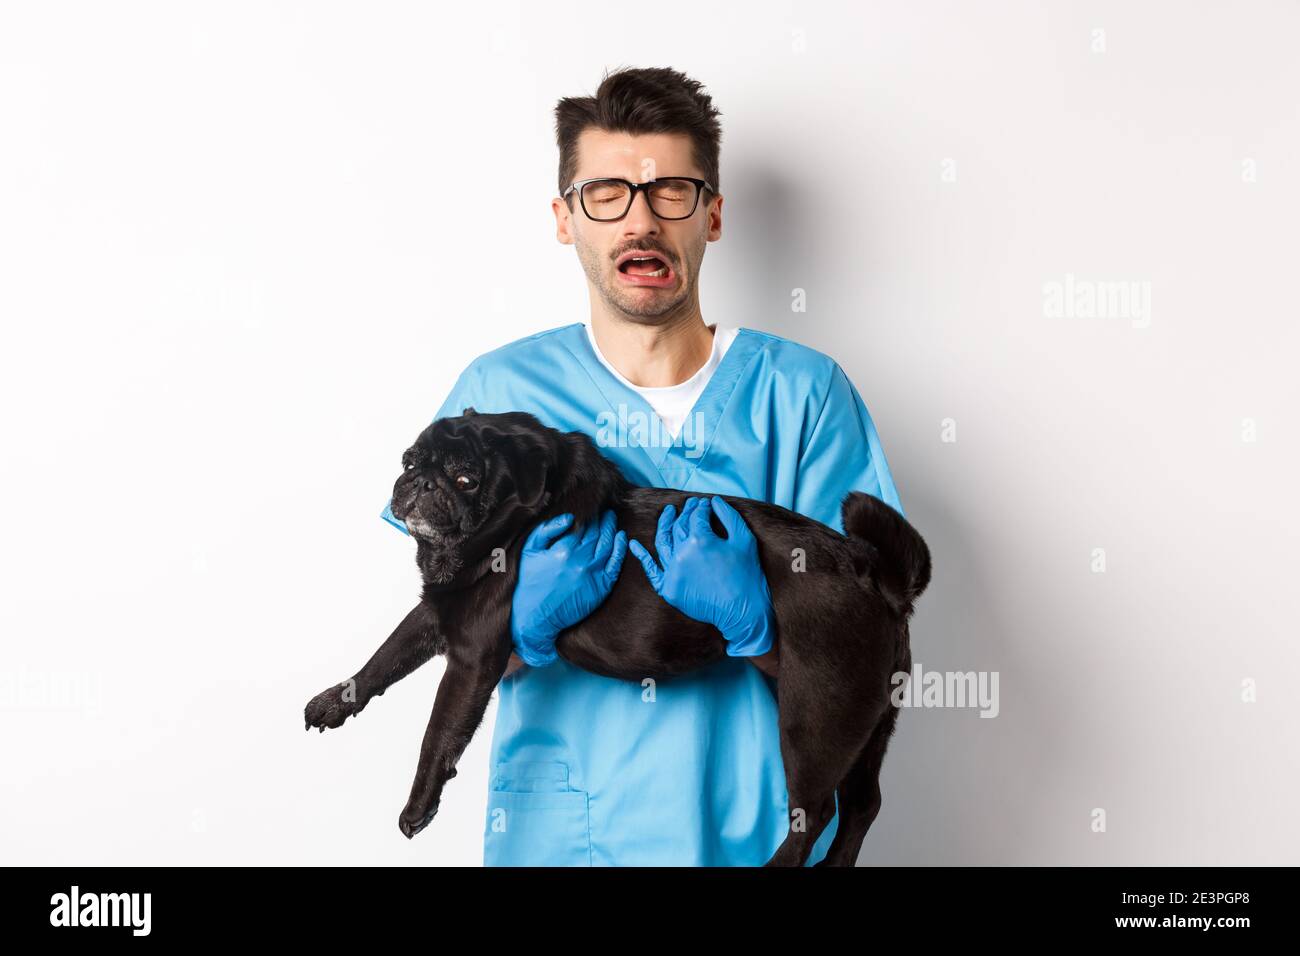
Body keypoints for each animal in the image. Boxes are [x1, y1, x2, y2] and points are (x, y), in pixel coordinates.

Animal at [301, 408, 935, 868]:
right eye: (411, 458)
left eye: (465, 479)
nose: (418, 480)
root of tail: (876, 575)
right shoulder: (439, 611)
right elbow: (384, 657)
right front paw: (336, 701)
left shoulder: (473, 656)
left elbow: (437, 736)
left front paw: (419, 805)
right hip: (866, 722)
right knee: (863, 804)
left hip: (815, 717)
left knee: (817, 811)